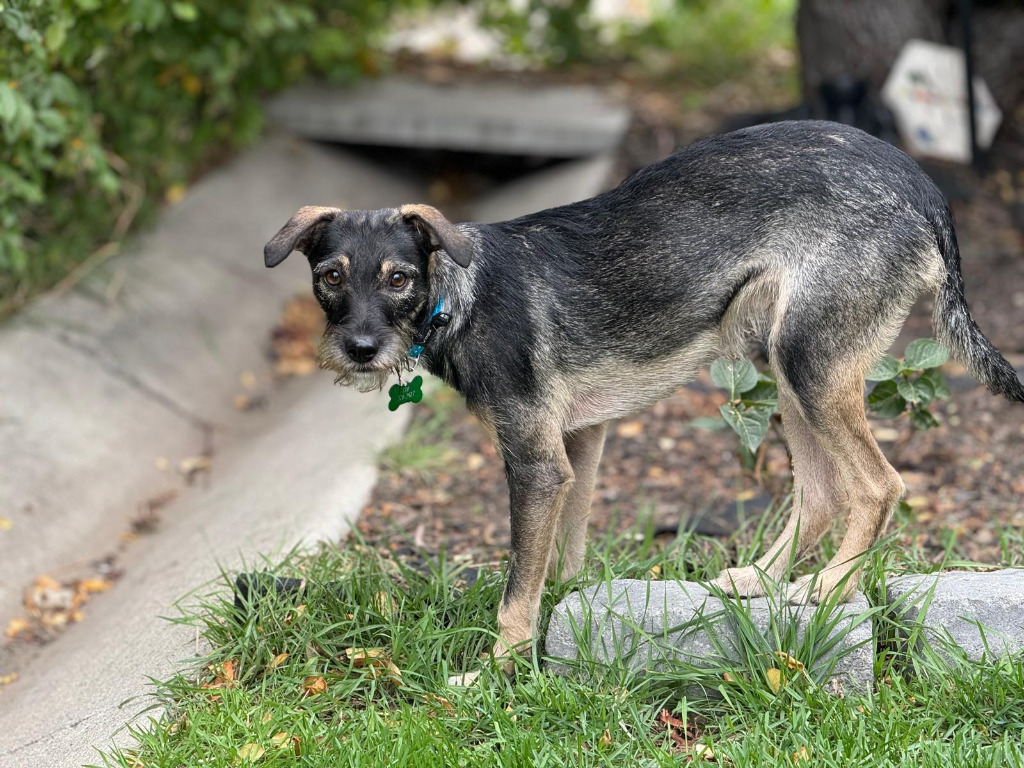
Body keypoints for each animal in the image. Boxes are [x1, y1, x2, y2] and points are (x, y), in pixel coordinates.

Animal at [266, 121, 1024, 684]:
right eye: (331, 277)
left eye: (398, 278)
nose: (360, 348)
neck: (459, 294)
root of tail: (922, 186)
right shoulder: (578, 446)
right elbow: (560, 563)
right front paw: (555, 624)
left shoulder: (536, 465)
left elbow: (516, 589)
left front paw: (497, 671)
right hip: (785, 368)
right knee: (820, 492)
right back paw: (760, 579)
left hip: (810, 364)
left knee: (877, 485)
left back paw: (829, 588)